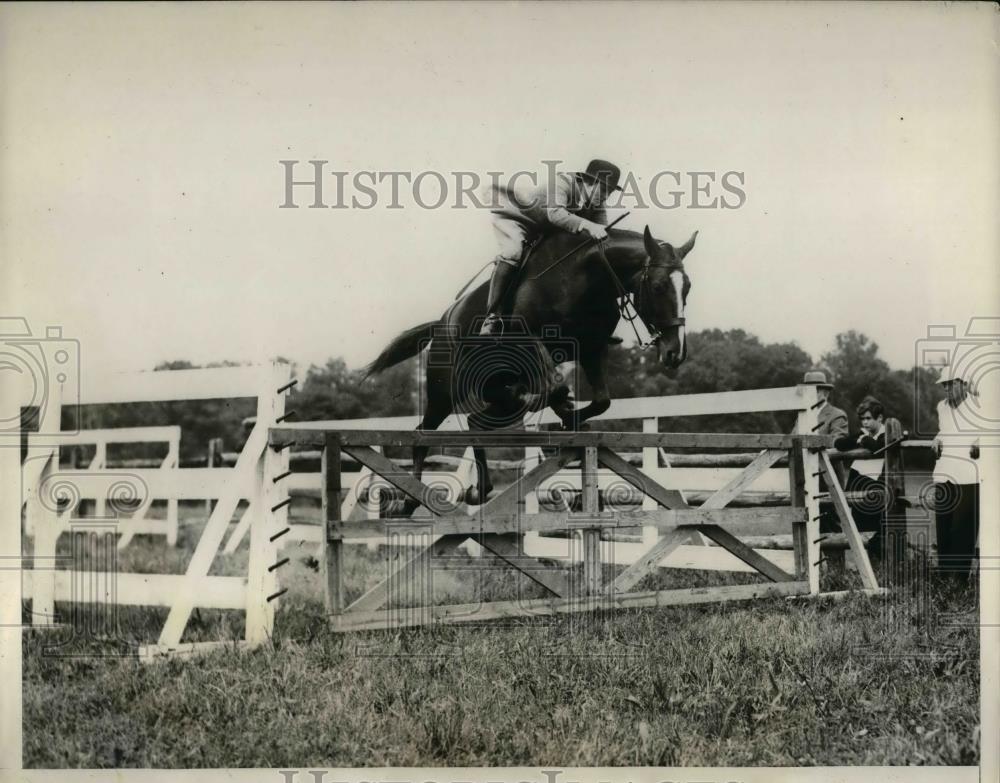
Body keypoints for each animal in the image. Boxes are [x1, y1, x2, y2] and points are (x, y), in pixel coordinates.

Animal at [364, 224, 700, 506]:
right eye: (657, 286)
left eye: (687, 288)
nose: (675, 352)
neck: (586, 276)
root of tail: (440, 323)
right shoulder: (526, 336)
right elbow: (553, 379)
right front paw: (561, 407)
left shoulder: (592, 350)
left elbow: (601, 400)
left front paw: (569, 418)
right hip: (444, 391)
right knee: (423, 435)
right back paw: (412, 500)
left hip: (491, 388)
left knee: (476, 422)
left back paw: (481, 488)